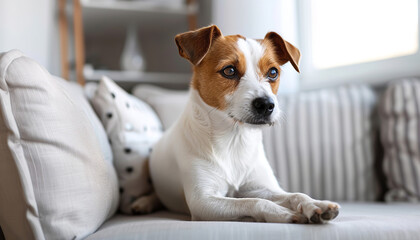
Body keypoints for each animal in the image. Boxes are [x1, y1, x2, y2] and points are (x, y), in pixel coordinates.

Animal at [146, 24, 340, 223]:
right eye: (229, 70)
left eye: (273, 72)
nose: (266, 105)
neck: (234, 139)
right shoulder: (203, 201)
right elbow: (254, 202)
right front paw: (283, 212)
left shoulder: (260, 188)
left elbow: (295, 195)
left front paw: (315, 204)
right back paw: (143, 202)